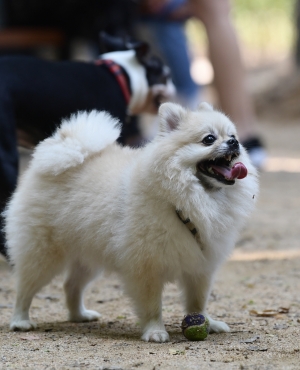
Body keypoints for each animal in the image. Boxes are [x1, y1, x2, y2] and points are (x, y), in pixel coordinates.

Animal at [4, 102, 258, 342]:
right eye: (209, 139)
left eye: (232, 135)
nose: (234, 142)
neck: (185, 200)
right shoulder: (146, 267)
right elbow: (152, 305)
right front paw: (155, 331)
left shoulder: (200, 267)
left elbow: (198, 302)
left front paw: (208, 323)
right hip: (43, 256)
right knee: (24, 289)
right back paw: (20, 321)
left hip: (88, 258)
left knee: (71, 285)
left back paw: (79, 316)